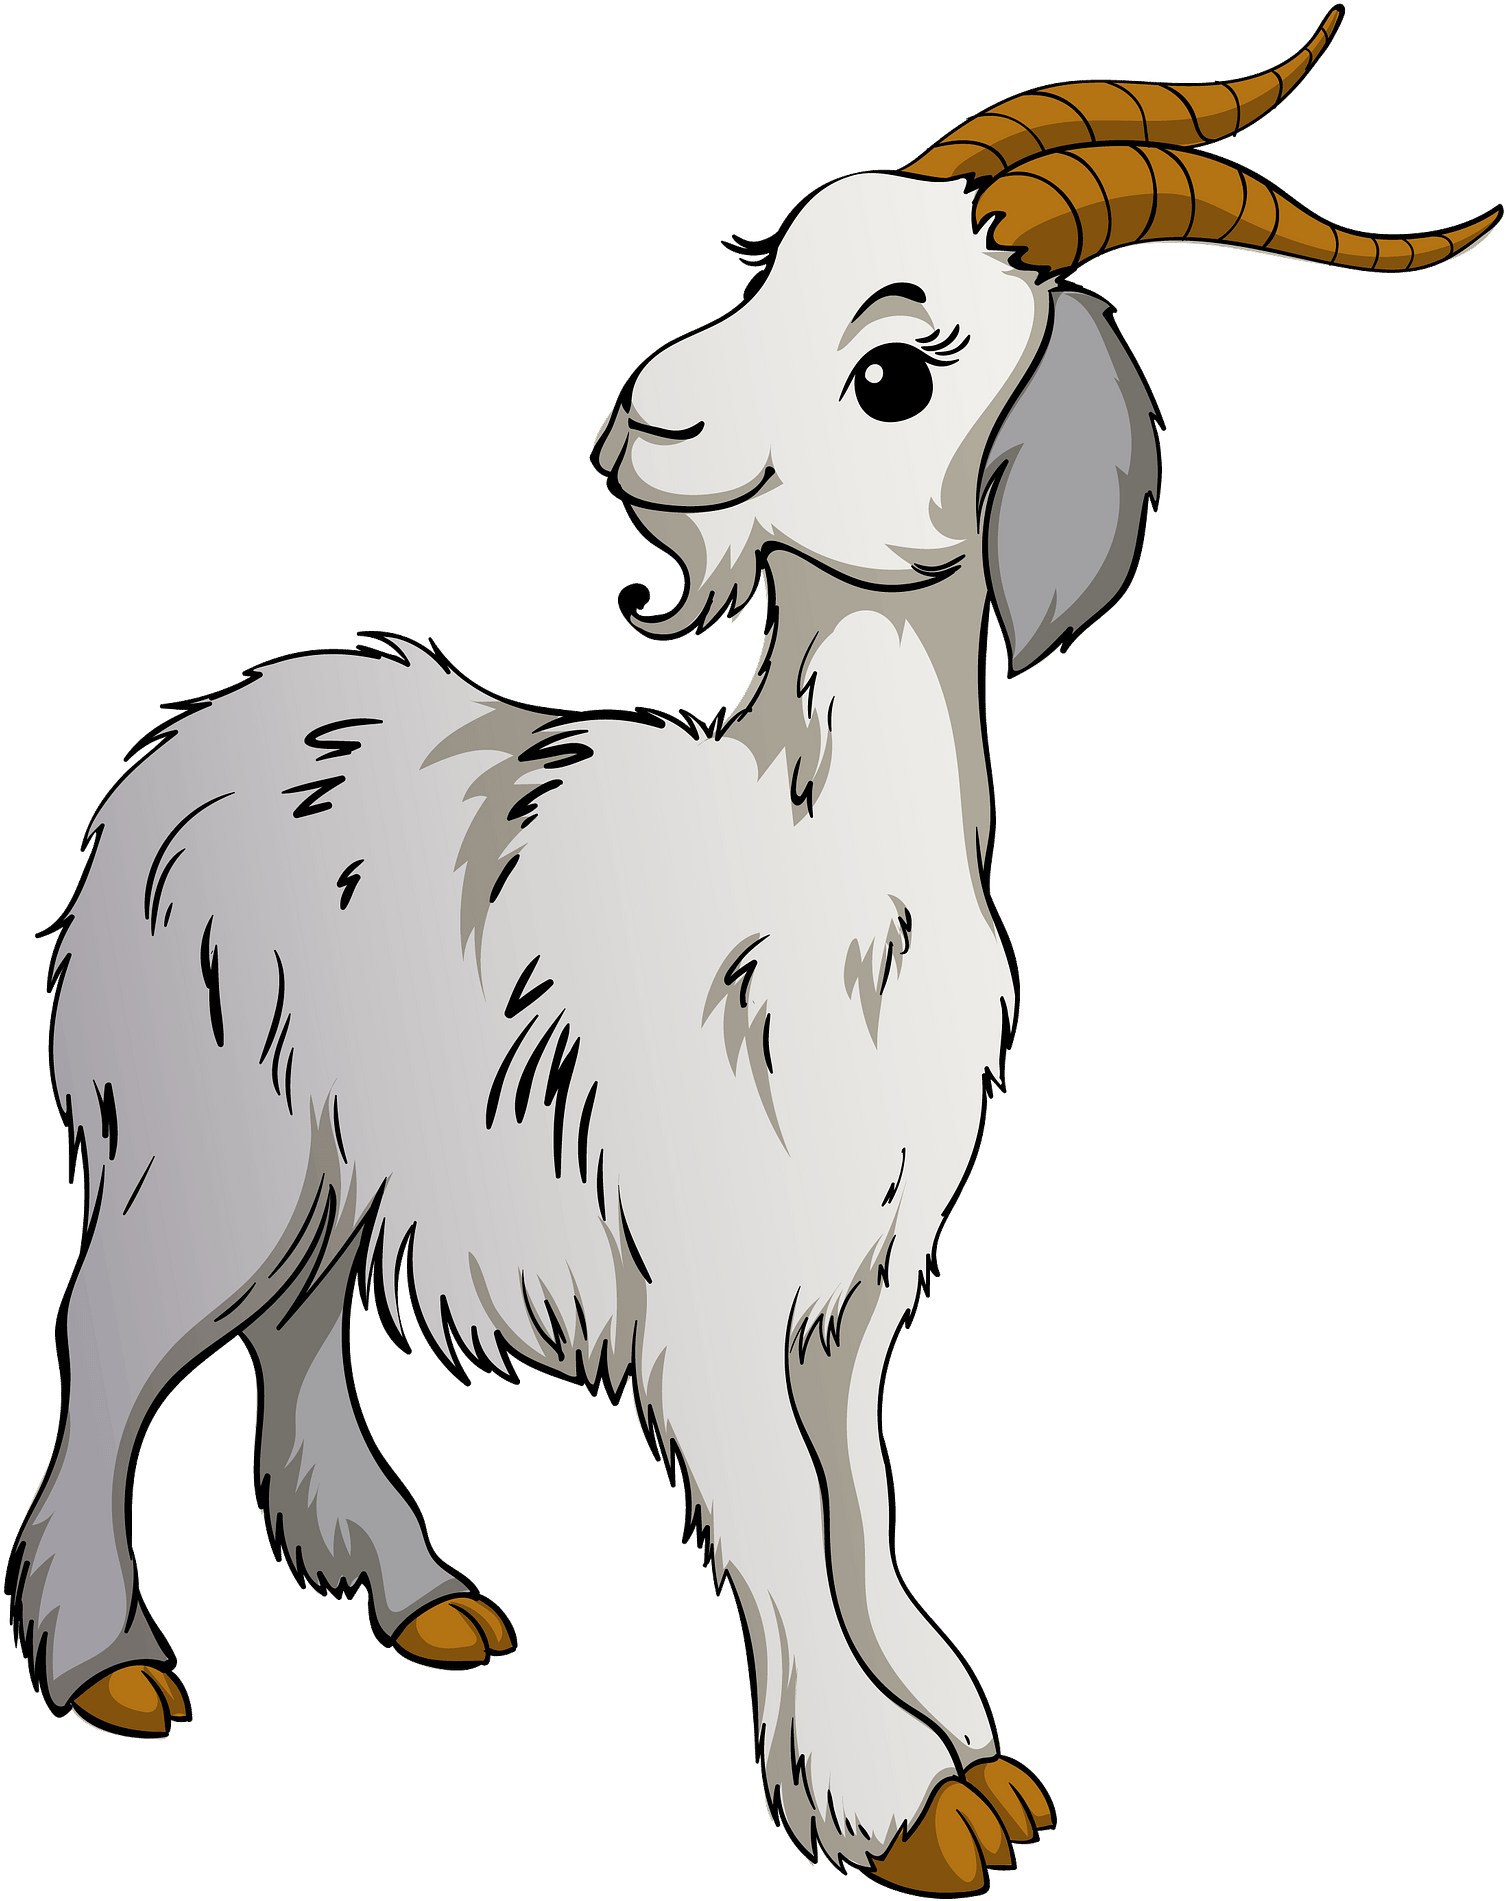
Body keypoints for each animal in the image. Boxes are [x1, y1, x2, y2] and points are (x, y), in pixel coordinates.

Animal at [8, 12, 1496, 1889]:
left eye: (896, 372)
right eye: (769, 264)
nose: (648, 416)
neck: (810, 861)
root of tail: (191, 745)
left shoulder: (856, 1276)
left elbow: (857, 1487)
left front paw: (966, 1743)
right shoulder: (701, 1262)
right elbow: (777, 1495)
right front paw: (895, 1802)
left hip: (338, 1150)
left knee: (294, 1323)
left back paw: (418, 1596)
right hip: (217, 1134)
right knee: (119, 1332)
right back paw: (106, 1663)